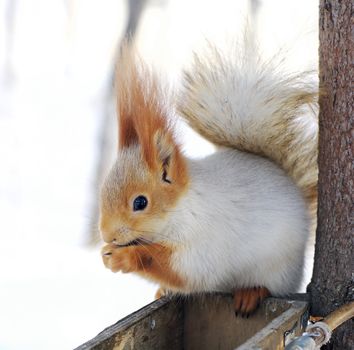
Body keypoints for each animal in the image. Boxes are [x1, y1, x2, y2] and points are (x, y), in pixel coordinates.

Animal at [99, 42, 318, 316]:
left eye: (140, 202)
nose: (107, 236)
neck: (180, 209)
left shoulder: (203, 242)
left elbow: (182, 269)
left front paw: (123, 257)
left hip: (278, 270)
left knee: (268, 285)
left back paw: (251, 293)